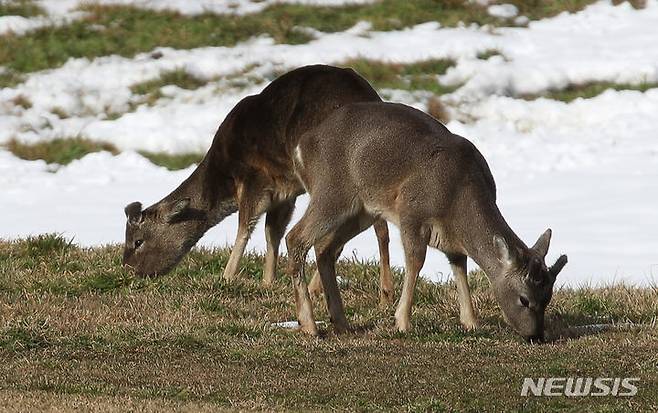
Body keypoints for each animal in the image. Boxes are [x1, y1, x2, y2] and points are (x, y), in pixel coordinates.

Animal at [121, 63, 394, 302]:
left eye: (137, 241)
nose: (127, 271)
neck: (224, 177)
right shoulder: (286, 190)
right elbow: (272, 232)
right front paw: (267, 281)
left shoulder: (254, 177)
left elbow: (245, 228)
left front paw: (227, 277)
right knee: (372, 227)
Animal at [284, 101, 568, 340]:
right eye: (524, 299)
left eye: (548, 297)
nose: (536, 336)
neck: (457, 196)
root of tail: (301, 147)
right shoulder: (410, 213)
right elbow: (415, 262)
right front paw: (401, 322)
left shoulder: (453, 242)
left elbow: (460, 266)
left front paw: (470, 321)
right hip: (332, 191)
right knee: (295, 237)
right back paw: (309, 326)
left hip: (362, 211)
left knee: (324, 247)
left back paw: (341, 322)